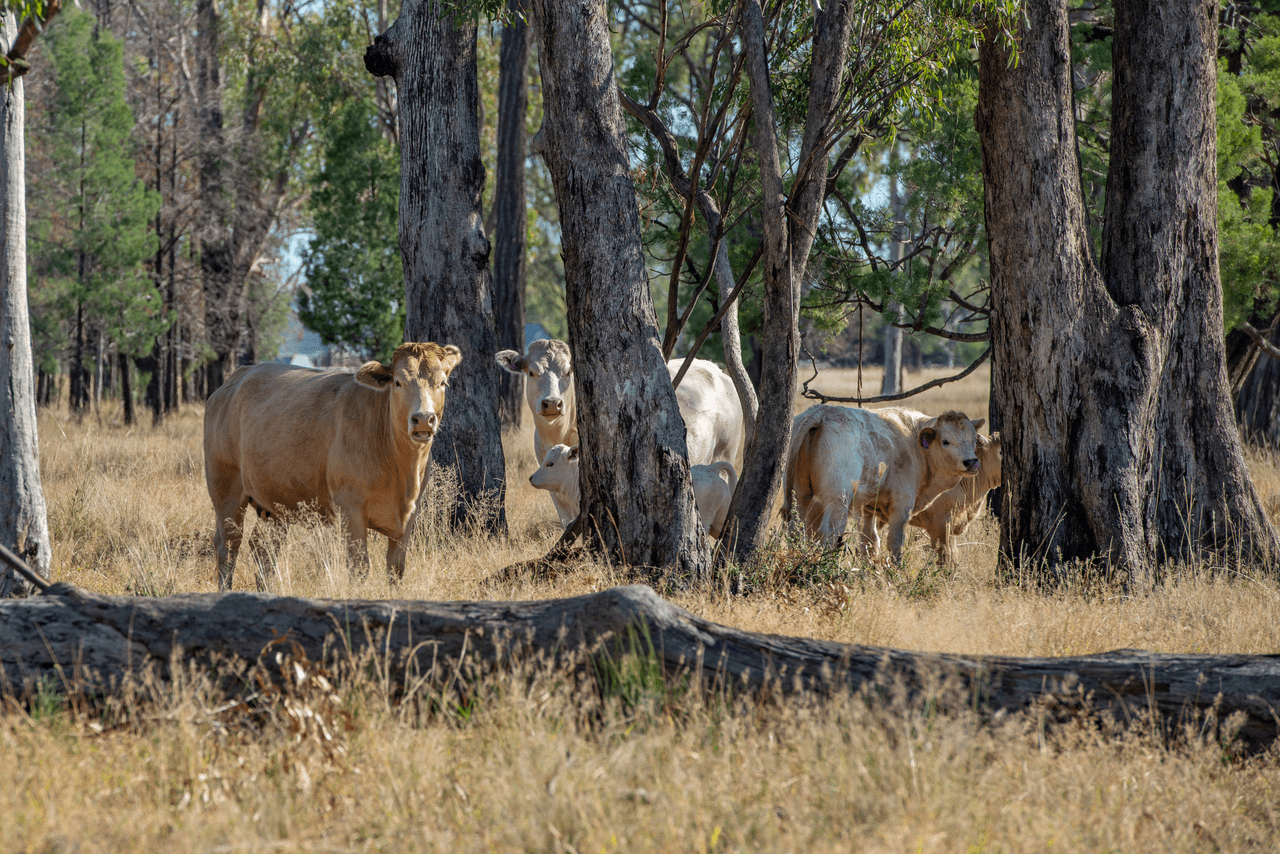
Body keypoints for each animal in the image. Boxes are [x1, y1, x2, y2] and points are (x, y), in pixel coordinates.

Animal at [207, 340, 468, 588]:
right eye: (398, 383)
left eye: (443, 383)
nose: (423, 419)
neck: (401, 471)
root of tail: (238, 377)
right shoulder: (349, 508)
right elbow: (359, 566)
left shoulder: (410, 513)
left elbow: (396, 569)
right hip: (226, 488)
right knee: (228, 544)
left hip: (274, 503)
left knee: (263, 547)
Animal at [783, 407, 983, 563]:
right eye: (945, 441)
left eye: (974, 439)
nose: (971, 462)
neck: (915, 444)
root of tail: (822, 412)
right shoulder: (902, 506)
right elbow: (894, 543)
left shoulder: (868, 508)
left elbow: (869, 541)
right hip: (837, 501)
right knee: (829, 535)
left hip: (800, 495)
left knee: (796, 531)